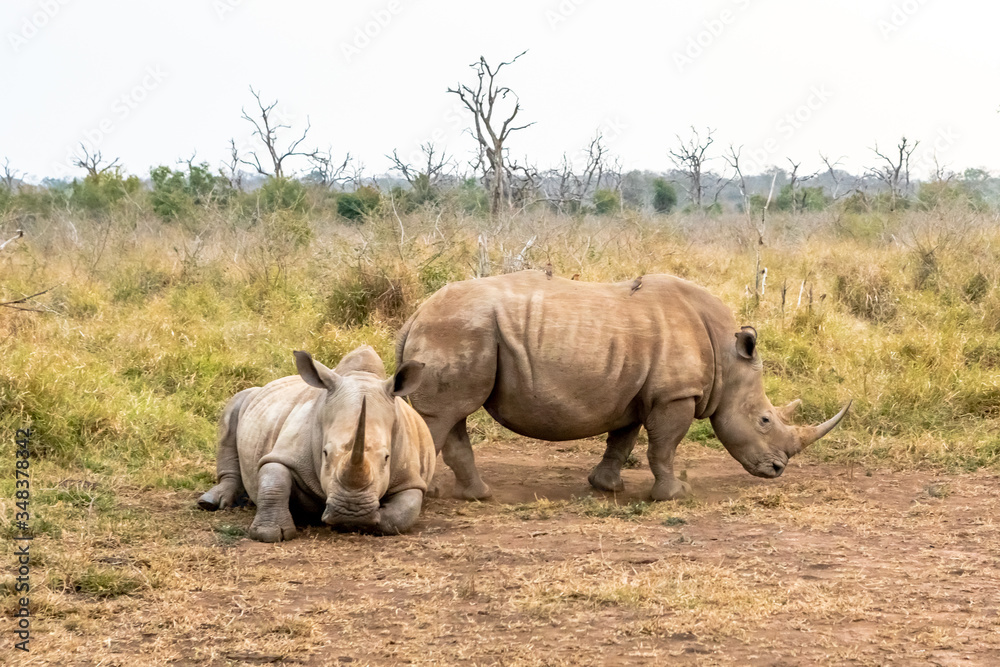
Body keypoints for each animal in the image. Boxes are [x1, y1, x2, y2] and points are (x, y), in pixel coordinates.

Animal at [198, 346, 435, 542]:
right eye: (325, 453)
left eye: (386, 458)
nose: (351, 513)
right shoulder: (284, 453)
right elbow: (274, 479)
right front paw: (269, 533)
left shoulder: (411, 478)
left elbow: (404, 512)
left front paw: (374, 520)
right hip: (251, 396)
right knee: (234, 407)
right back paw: (209, 502)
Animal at [396, 271, 849, 501]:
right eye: (764, 420)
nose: (777, 470)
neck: (726, 355)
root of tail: (415, 315)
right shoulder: (675, 394)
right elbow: (664, 446)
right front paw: (675, 495)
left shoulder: (635, 392)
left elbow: (623, 440)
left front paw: (607, 487)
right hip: (458, 329)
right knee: (443, 415)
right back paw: (432, 494)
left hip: (460, 332)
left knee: (452, 414)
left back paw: (477, 495)